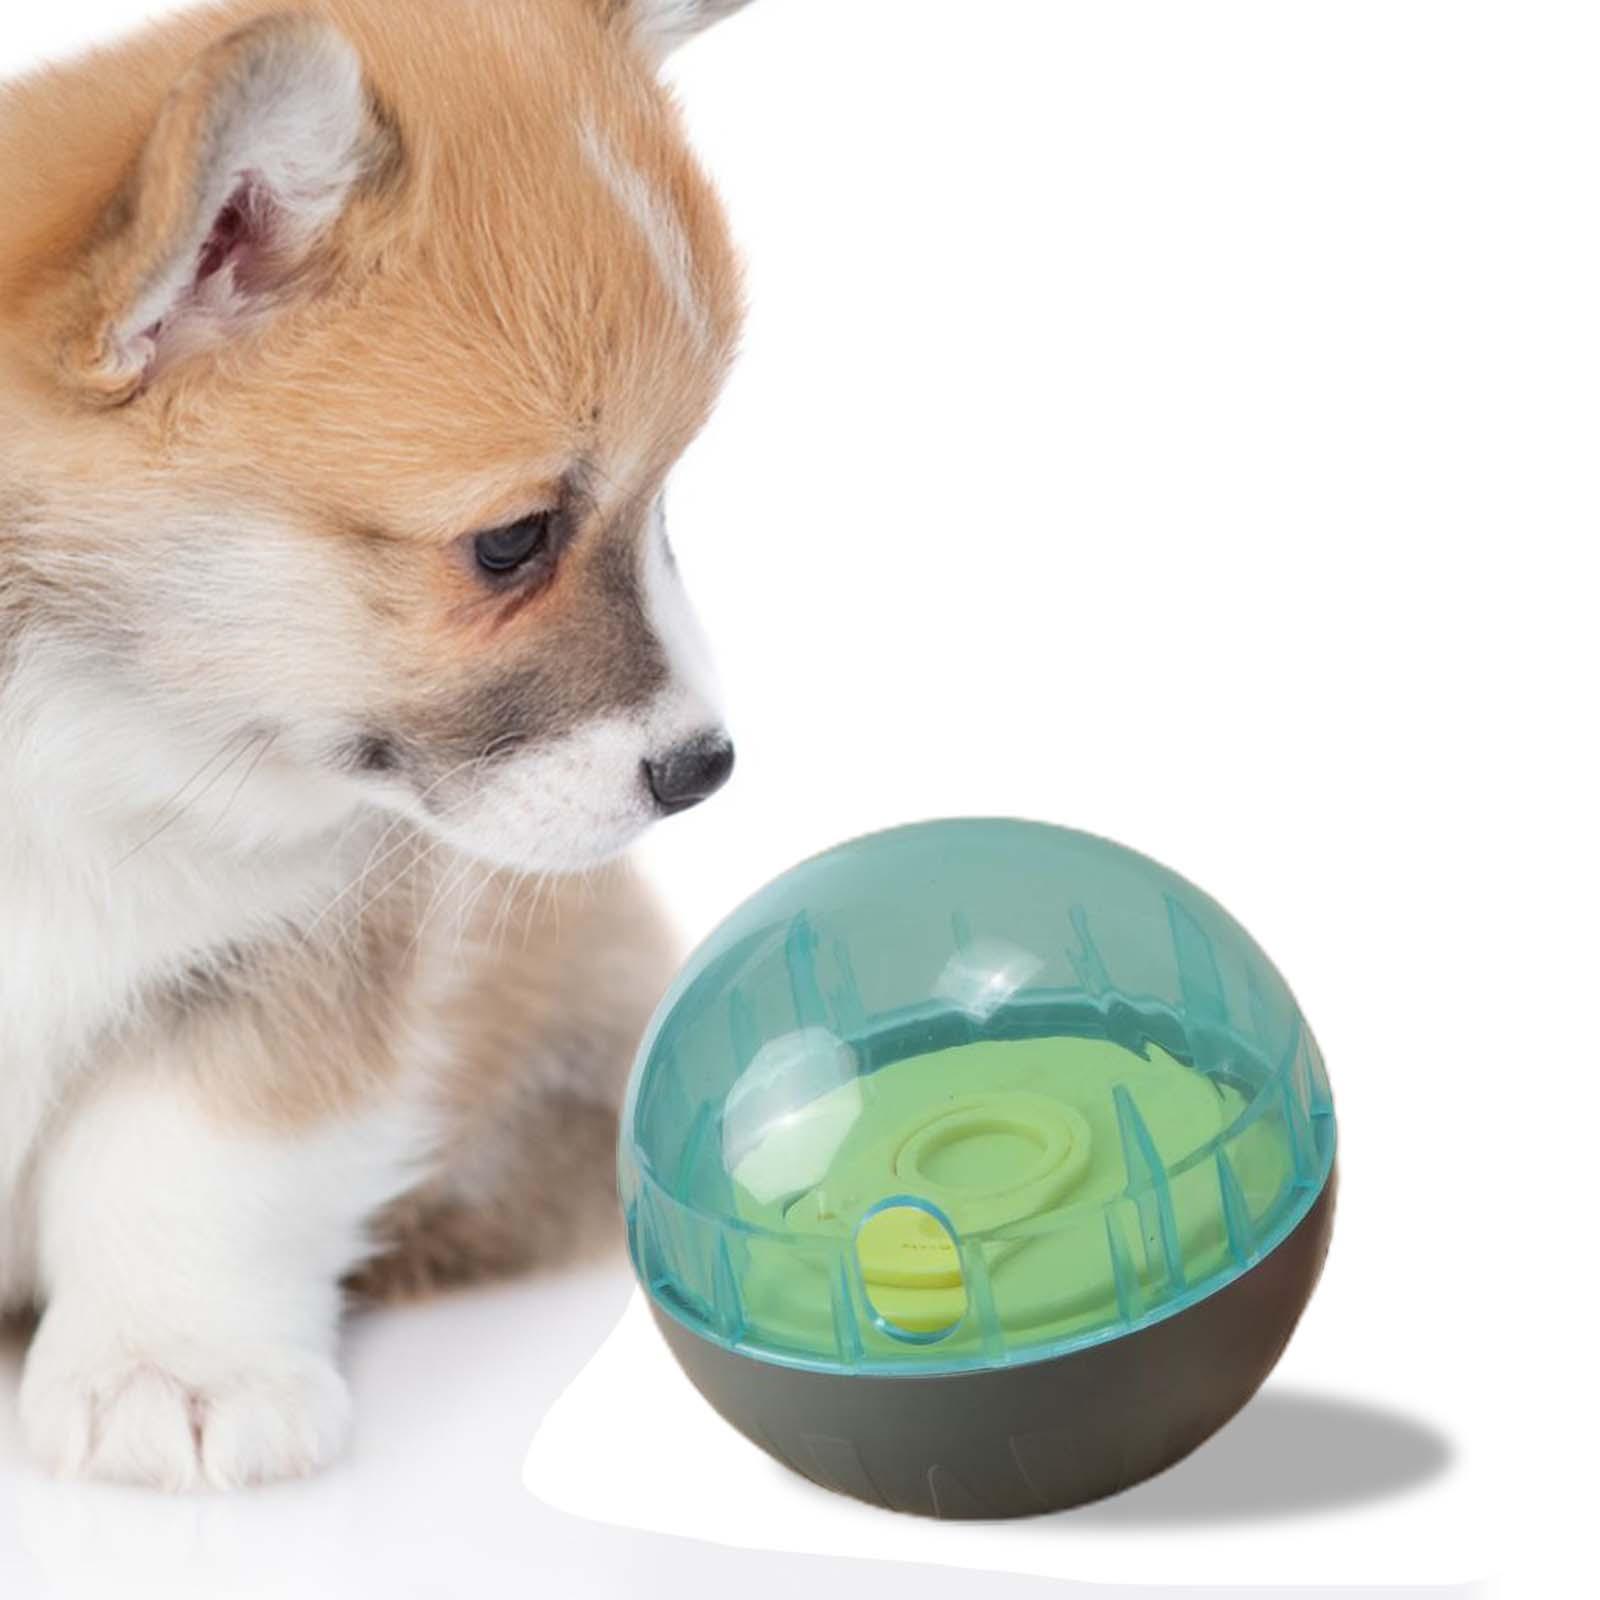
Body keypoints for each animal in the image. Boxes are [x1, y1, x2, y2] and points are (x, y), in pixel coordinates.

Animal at [0, 0, 750, 1489]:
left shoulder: (285, 960)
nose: (705, 770)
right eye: (512, 541)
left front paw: (169, 1369)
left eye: (663, 511)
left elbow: (187, 1156)